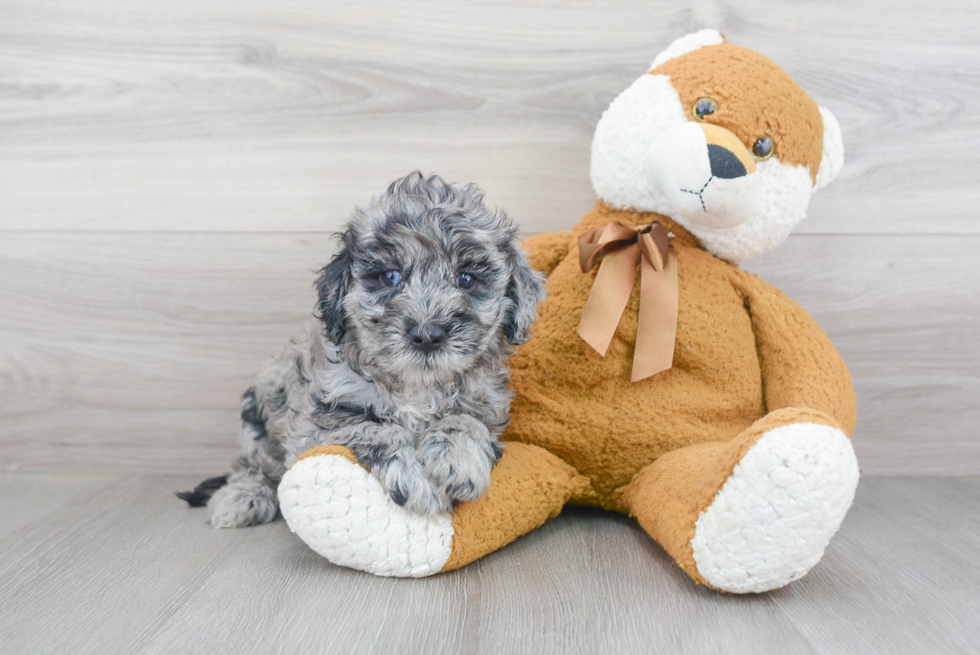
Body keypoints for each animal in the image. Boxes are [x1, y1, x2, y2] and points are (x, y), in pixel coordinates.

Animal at [176, 170, 544, 528]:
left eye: (467, 279)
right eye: (390, 276)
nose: (427, 334)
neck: (415, 387)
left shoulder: (488, 410)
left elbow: (465, 421)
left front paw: (459, 460)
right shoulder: (315, 428)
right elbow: (374, 430)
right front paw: (417, 482)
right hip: (256, 418)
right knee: (252, 467)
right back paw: (242, 497)